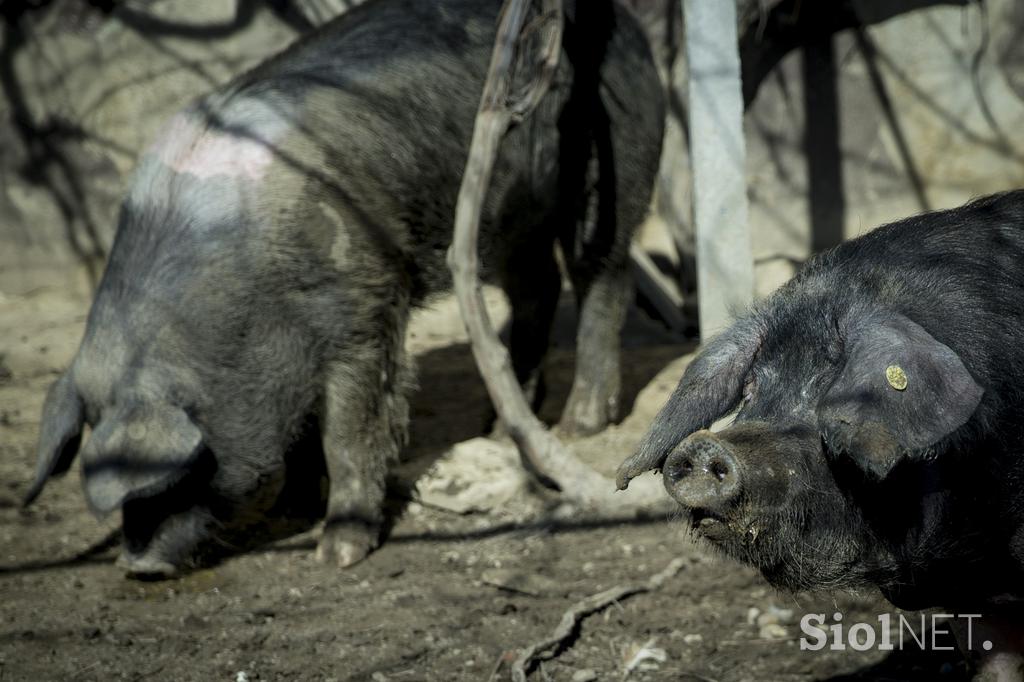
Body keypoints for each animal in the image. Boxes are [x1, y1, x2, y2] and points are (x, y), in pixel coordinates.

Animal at [25, 0, 663, 573]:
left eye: (182, 473)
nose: (138, 566)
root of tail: (629, 25)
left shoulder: (363, 308)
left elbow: (349, 430)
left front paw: (337, 555)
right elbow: (304, 431)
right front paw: (294, 510)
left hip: (610, 171)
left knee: (603, 276)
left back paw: (581, 422)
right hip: (512, 218)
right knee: (536, 286)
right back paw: (500, 421)